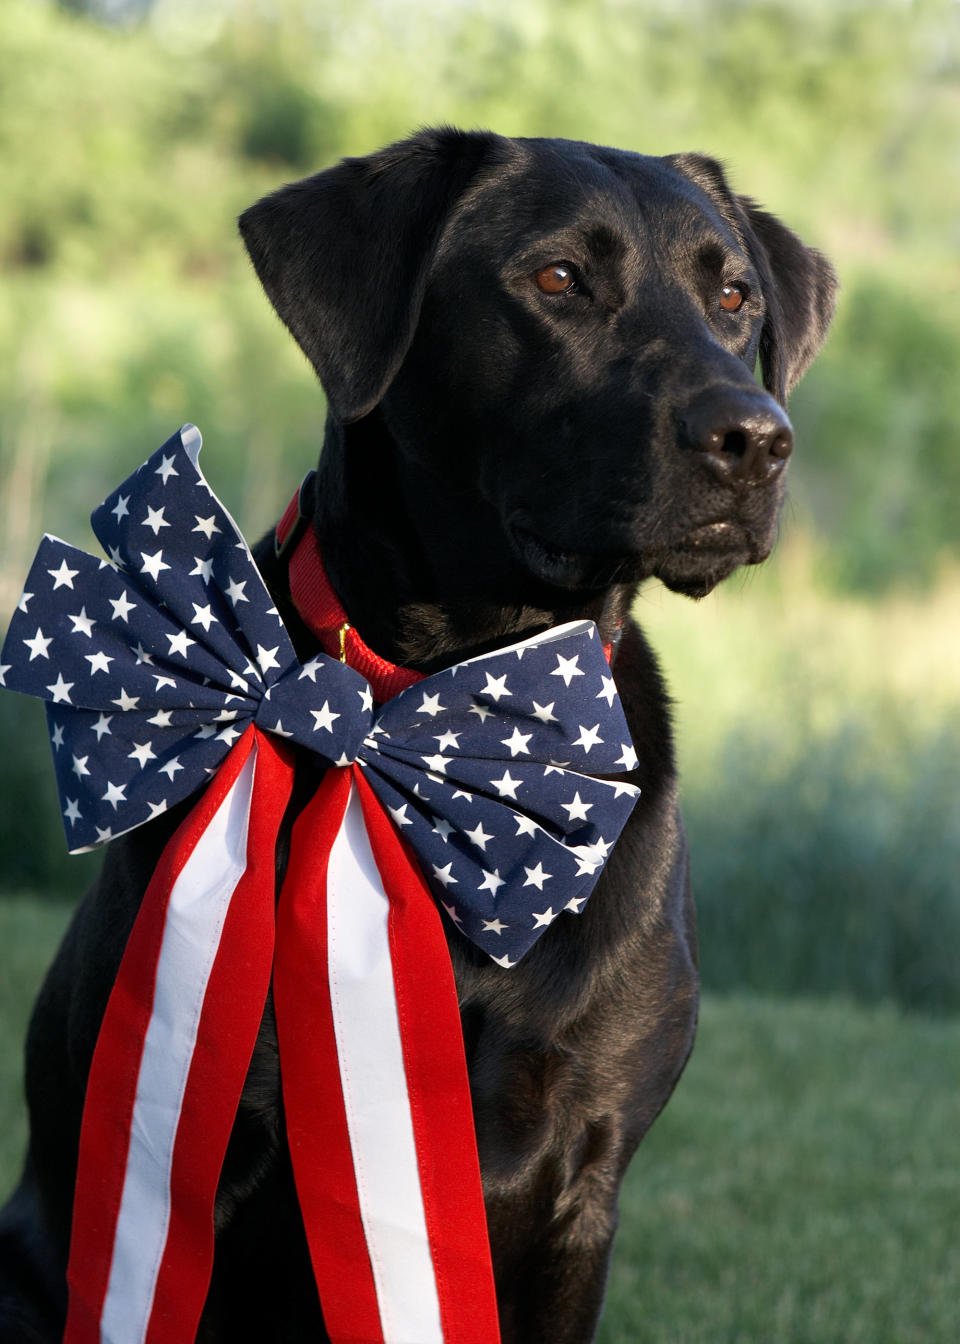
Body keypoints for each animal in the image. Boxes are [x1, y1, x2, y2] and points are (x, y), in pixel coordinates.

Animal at [0, 128, 833, 1344]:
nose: (756, 439)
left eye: (733, 298)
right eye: (557, 279)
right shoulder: (196, 1182)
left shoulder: (581, 1185)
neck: (459, 720)